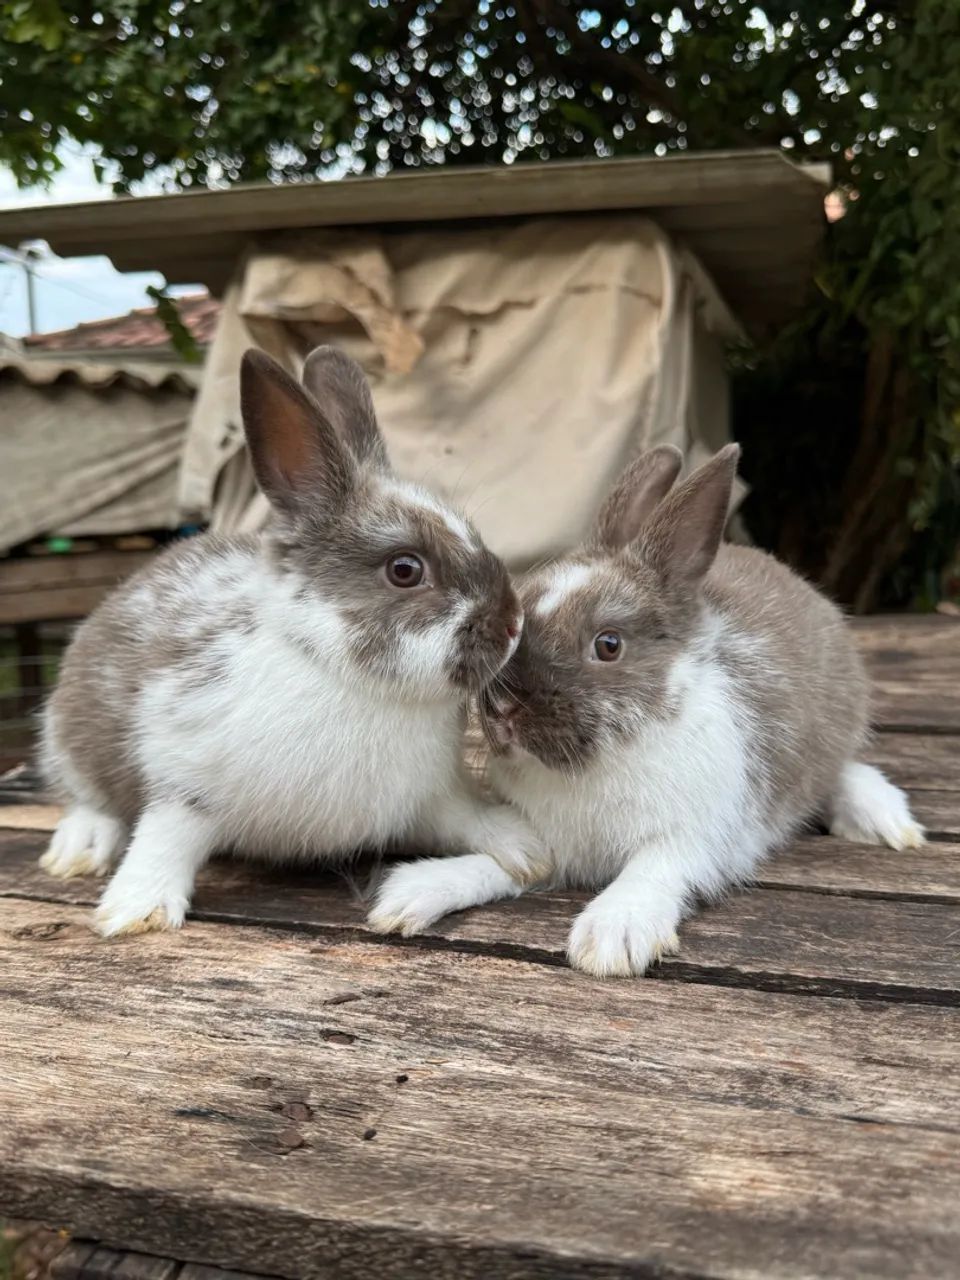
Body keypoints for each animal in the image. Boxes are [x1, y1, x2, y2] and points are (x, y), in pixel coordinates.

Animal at [39, 346, 545, 937]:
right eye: (405, 569)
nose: (512, 623)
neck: (348, 677)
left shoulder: (431, 797)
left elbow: (469, 818)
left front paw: (522, 843)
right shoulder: (184, 781)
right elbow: (165, 838)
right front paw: (136, 910)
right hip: (67, 739)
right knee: (83, 795)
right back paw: (80, 847)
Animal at [369, 443, 924, 976]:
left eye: (608, 645)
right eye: (520, 613)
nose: (503, 705)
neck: (600, 759)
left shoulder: (697, 836)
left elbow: (652, 867)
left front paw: (612, 936)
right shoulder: (545, 840)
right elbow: (509, 863)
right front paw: (412, 893)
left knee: (840, 772)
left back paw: (885, 821)